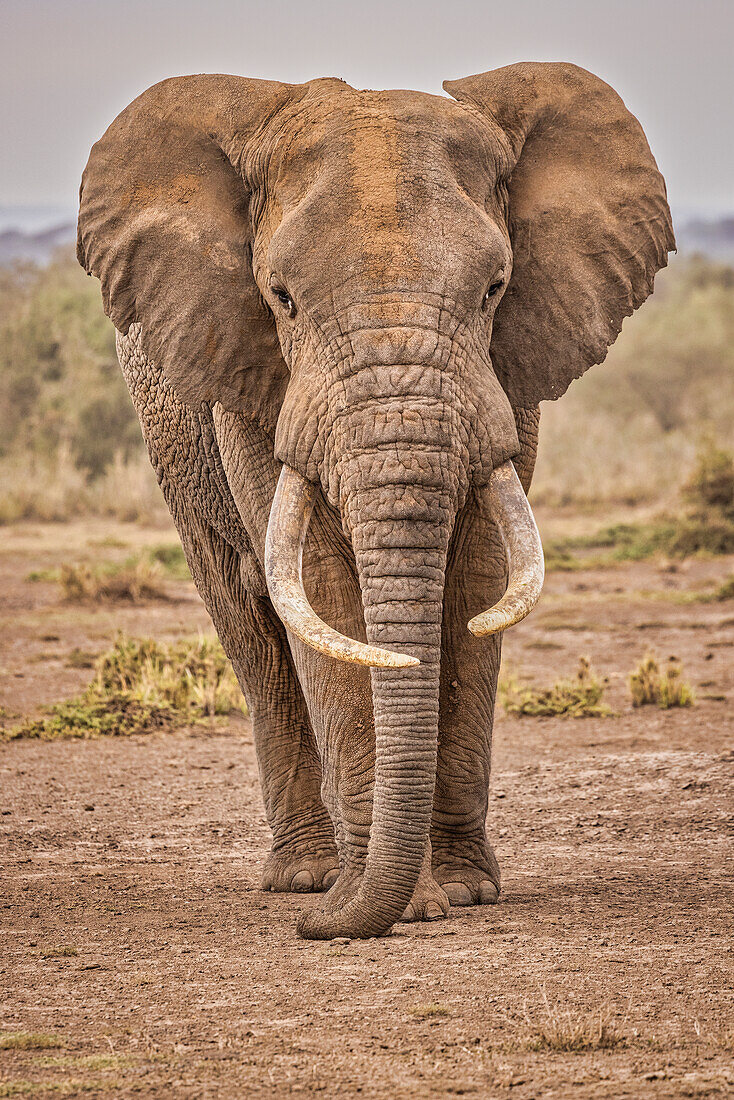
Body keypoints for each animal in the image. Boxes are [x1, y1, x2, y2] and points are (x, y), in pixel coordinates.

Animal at [77, 62, 673, 937]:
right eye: (282, 297)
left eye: (495, 288)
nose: (314, 931)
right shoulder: (249, 378)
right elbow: (321, 582)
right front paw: (386, 905)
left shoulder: (509, 377)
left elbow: (479, 578)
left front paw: (464, 894)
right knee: (249, 623)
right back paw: (308, 877)